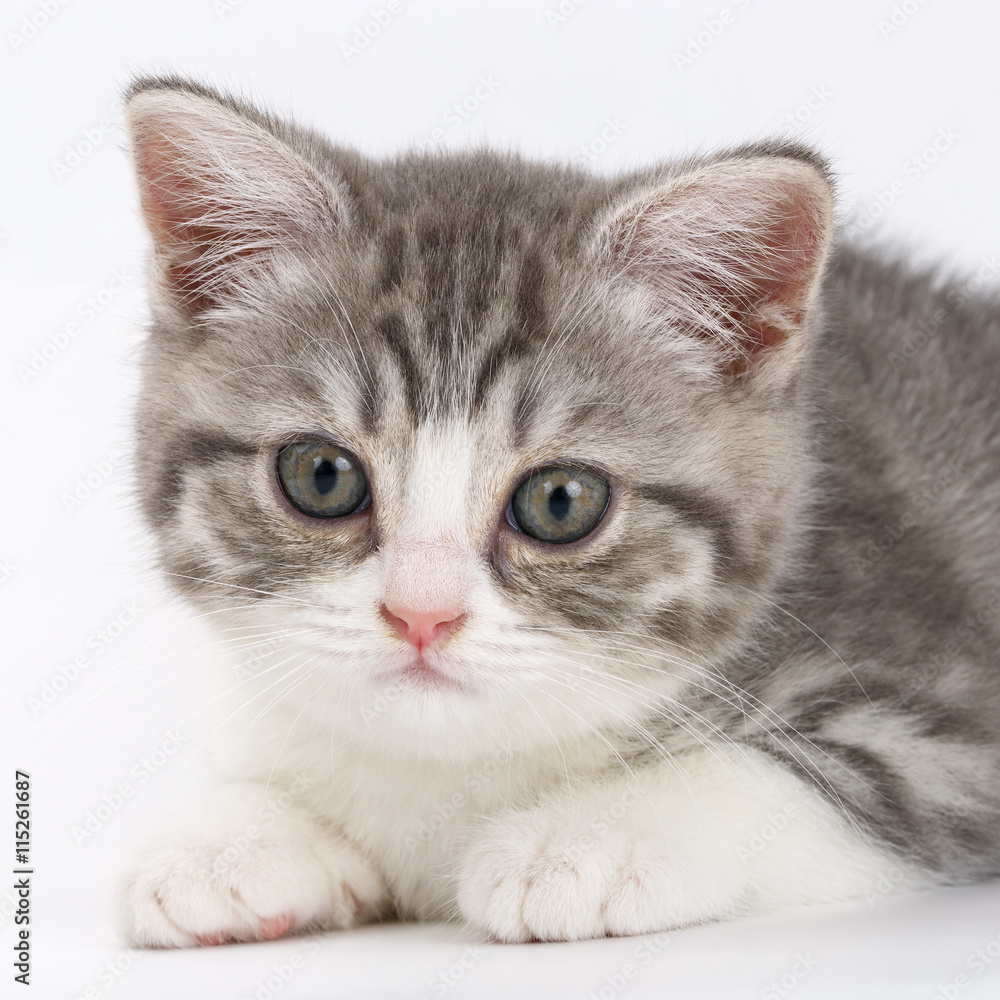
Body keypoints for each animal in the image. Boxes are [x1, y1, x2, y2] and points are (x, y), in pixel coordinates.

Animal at [115, 76, 1000, 944]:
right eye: (322, 477)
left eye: (561, 501)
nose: (421, 614)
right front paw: (234, 838)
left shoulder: (948, 727)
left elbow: (787, 774)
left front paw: (586, 841)